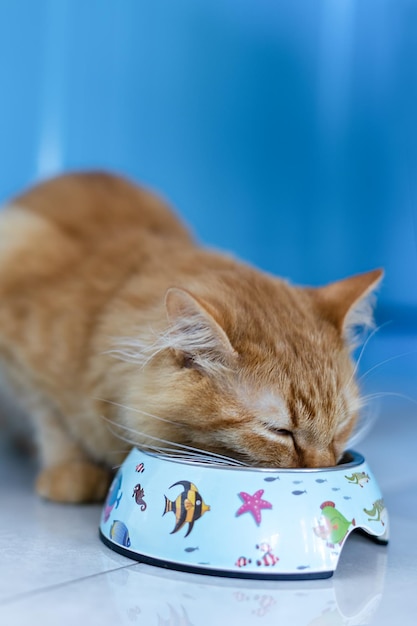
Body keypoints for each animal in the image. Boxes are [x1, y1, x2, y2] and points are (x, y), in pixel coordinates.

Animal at [0, 172, 382, 502]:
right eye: (279, 431)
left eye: (342, 425)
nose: (325, 467)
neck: (100, 317)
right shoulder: (21, 358)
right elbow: (53, 420)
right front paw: (70, 471)